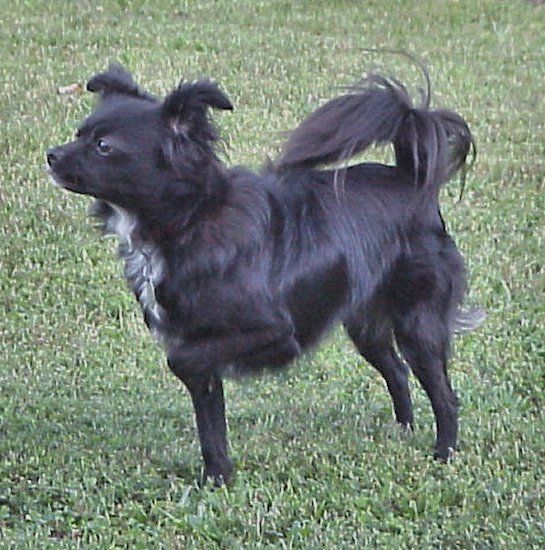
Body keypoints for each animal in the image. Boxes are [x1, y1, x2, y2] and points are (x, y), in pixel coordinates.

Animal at [50, 66, 476, 488]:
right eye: (79, 133)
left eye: (104, 146)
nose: (50, 156)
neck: (189, 220)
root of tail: (411, 179)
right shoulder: (205, 342)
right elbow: (211, 424)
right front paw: (217, 480)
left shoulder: (271, 332)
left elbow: (183, 362)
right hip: (365, 325)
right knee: (398, 372)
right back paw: (403, 430)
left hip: (417, 323)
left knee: (443, 394)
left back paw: (444, 454)